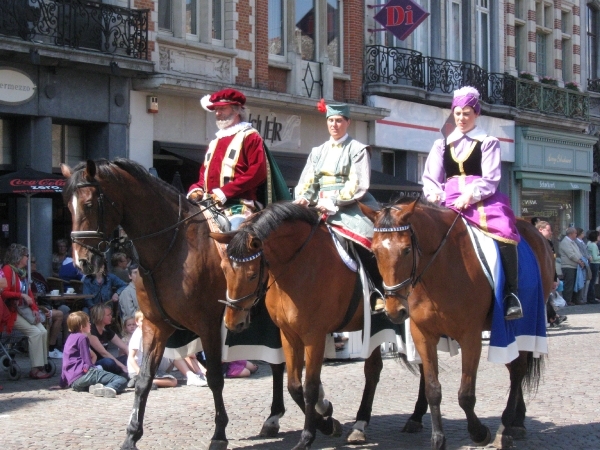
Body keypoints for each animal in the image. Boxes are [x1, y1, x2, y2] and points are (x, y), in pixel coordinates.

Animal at [61, 160, 286, 450]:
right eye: (68, 205)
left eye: (89, 203)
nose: (82, 262)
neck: (172, 248)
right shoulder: (155, 325)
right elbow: (144, 379)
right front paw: (131, 436)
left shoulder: (209, 326)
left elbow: (215, 379)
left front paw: (219, 434)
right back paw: (275, 418)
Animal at [213, 203, 420, 450]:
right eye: (224, 269)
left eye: (252, 275)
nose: (232, 322)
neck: (298, 266)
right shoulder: (289, 335)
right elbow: (294, 386)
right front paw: (328, 421)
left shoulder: (314, 336)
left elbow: (310, 387)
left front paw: (308, 436)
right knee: (373, 369)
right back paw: (360, 424)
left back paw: (413, 418)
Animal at [358, 199, 556, 448]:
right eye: (374, 252)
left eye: (406, 250)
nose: (394, 310)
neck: (441, 267)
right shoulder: (423, 335)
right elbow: (433, 389)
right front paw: (438, 439)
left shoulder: (470, 336)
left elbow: (466, 395)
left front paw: (479, 432)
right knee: (515, 369)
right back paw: (516, 422)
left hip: (524, 323)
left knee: (518, 370)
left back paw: (507, 429)